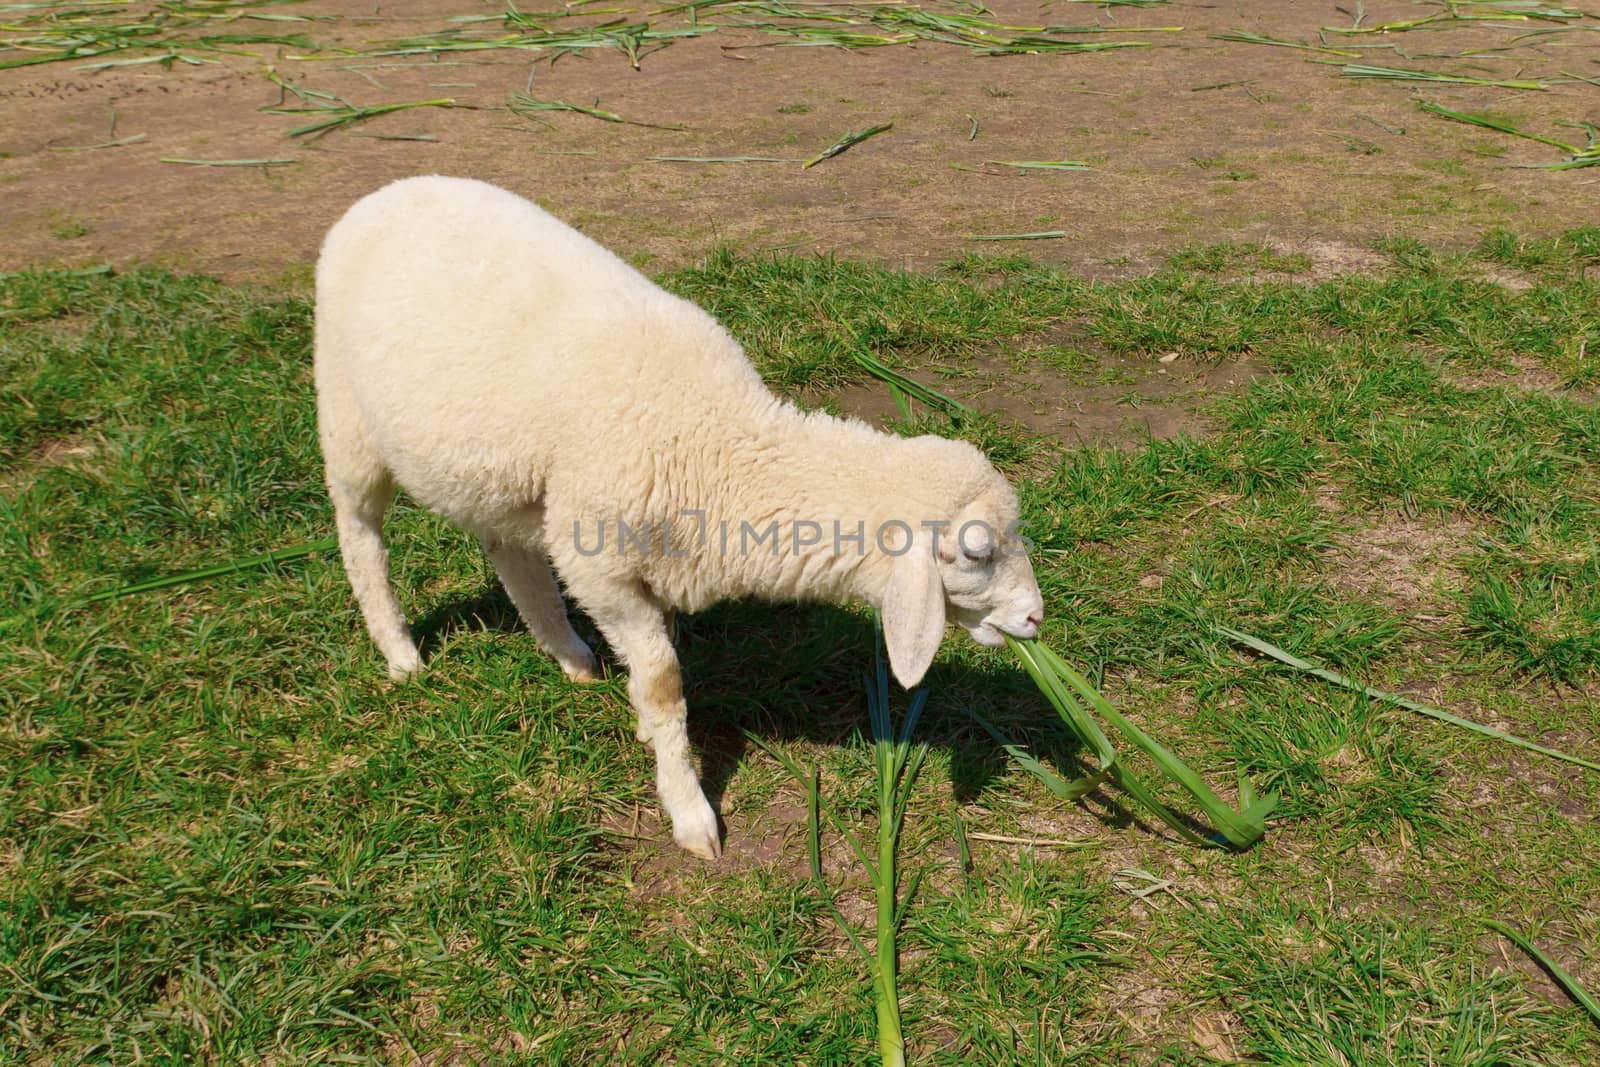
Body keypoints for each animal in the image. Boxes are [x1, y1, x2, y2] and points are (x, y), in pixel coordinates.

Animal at [312, 177, 1043, 857]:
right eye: (976, 552)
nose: (1038, 618)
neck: (719, 444)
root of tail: (389, 191)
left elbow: (653, 657)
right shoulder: (600, 567)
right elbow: (663, 684)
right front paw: (689, 808)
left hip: (502, 477)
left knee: (511, 551)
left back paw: (570, 655)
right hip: (346, 418)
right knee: (360, 537)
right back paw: (400, 653)